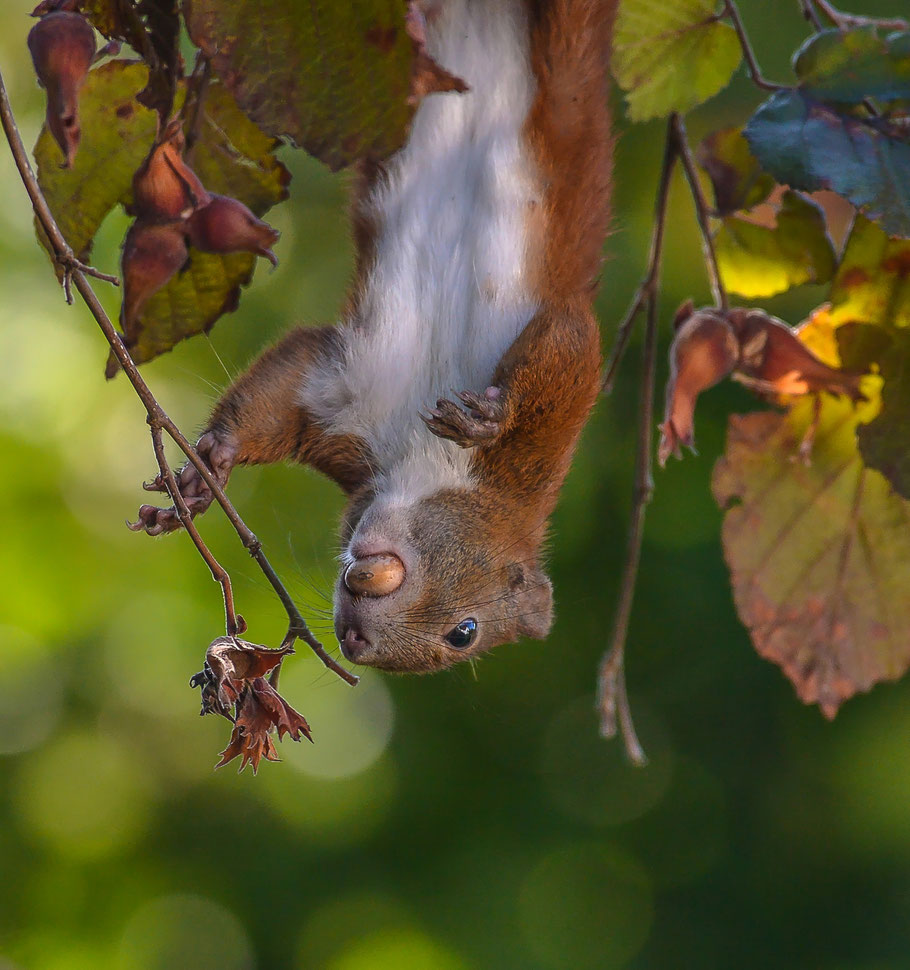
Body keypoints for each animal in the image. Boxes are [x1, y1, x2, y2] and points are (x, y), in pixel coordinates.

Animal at [134, 0, 620, 668]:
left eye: (462, 635)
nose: (357, 644)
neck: (424, 462)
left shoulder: (342, 398)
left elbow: (284, 392)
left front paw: (214, 464)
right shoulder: (530, 447)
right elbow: (569, 347)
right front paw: (206, 469)